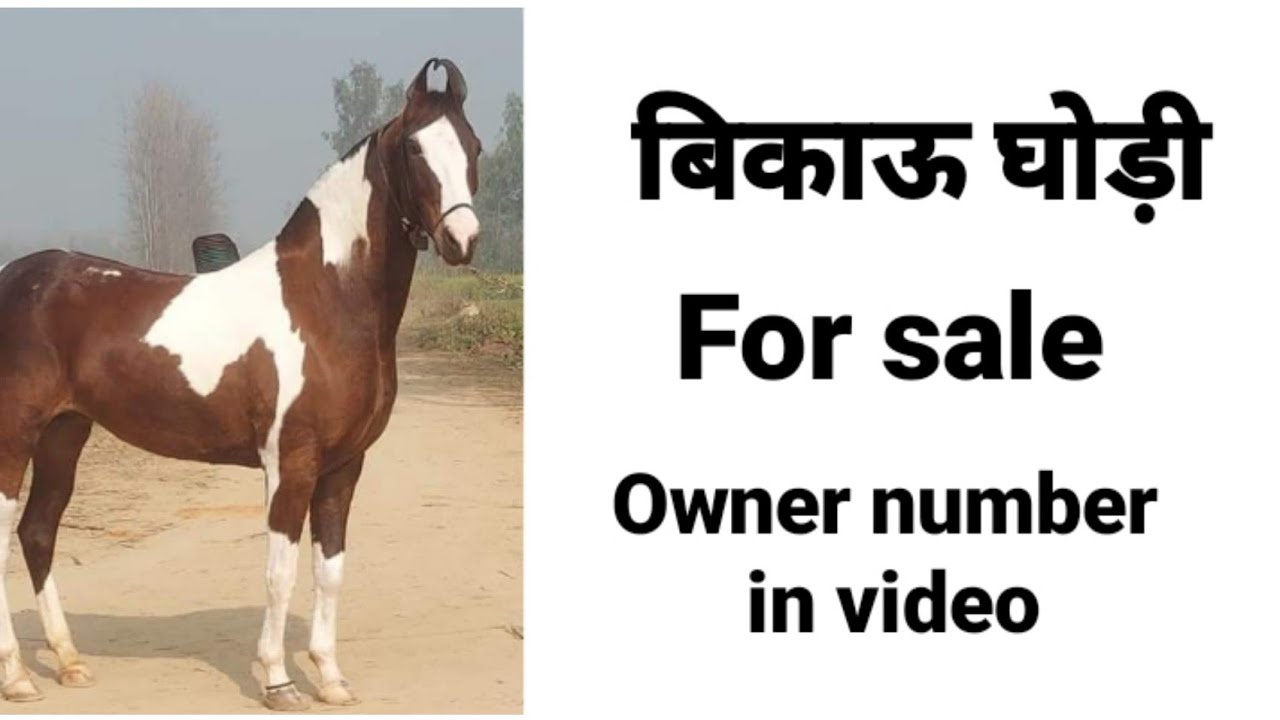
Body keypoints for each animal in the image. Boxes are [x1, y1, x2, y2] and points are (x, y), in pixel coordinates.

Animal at [0, 57, 482, 711]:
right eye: (413, 147)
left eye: (473, 146)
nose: (465, 240)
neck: (324, 300)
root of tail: (15, 277)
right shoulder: (291, 462)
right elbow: (279, 572)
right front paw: (278, 681)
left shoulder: (344, 465)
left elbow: (330, 570)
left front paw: (331, 678)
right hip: (14, 436)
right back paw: (17, 676)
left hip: (63, 434)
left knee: (38, 531)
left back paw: (69, 662)